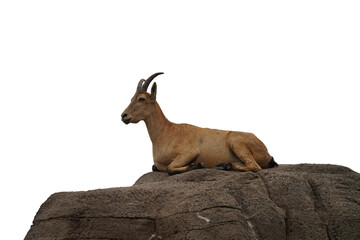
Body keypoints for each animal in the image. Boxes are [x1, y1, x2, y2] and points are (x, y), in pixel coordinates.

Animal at [122, 72, 278, 174]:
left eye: (141, 99)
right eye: (132, 98)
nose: (124, 116)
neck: (165, 132)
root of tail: (267, 153)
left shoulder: (190, 152)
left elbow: (170, 168)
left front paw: (198, 165)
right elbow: (156, 167)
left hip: (236, 141)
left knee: (254, 166)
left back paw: (226, 165)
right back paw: (224, 165)